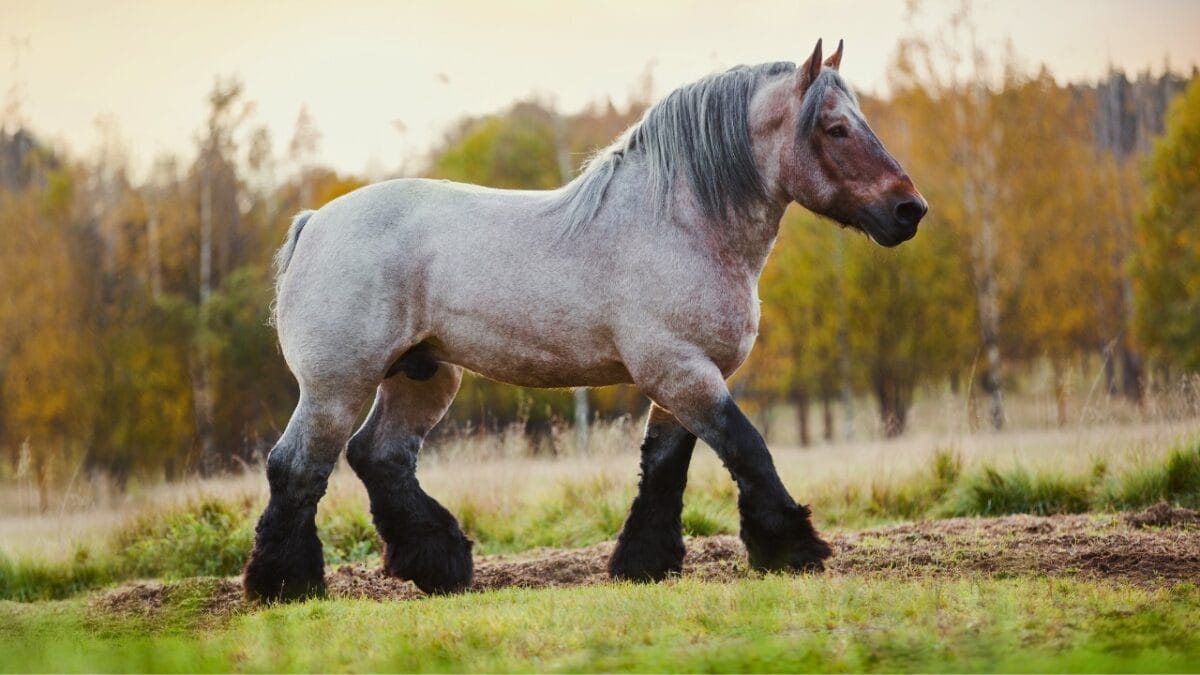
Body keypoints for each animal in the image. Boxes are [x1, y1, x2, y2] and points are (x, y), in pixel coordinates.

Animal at [243, 39, 928, 601]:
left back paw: (440, 564)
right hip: (336, 387)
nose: (910, 210)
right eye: (836, 129)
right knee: (298, 466)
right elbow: (747, 448)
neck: (680, 222)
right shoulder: (682, 372)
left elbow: (664, 467)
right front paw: (793, 548)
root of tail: (314, 223)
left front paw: (643, 564)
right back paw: (286, 586)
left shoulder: (679, 380)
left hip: (423, 376)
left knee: (378, 457)